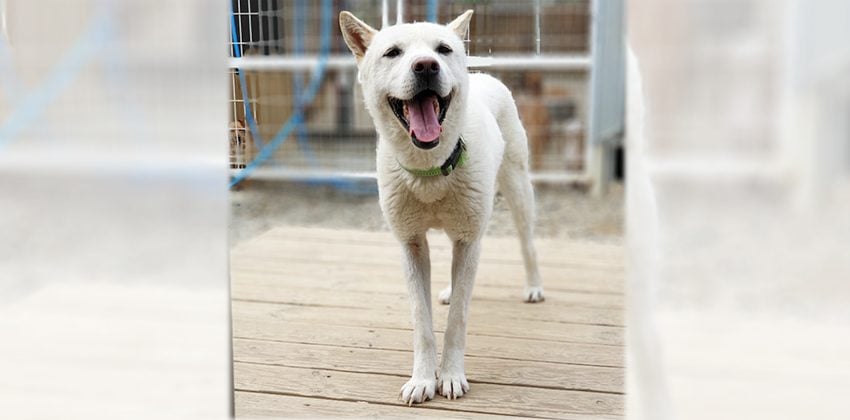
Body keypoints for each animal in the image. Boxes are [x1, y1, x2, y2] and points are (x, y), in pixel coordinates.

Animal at [338, 9, 544, 404]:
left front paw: (449, 376)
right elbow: (422, 321)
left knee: (528, 243)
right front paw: (422, 379)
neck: (429, 171)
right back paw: (448, 290)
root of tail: (483, 76)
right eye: (393, 52)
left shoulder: (468, 239)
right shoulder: (412, 244)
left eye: (443, 49)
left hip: (518, 189)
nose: (426, 66)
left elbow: (458, 320)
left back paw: (534, 288)